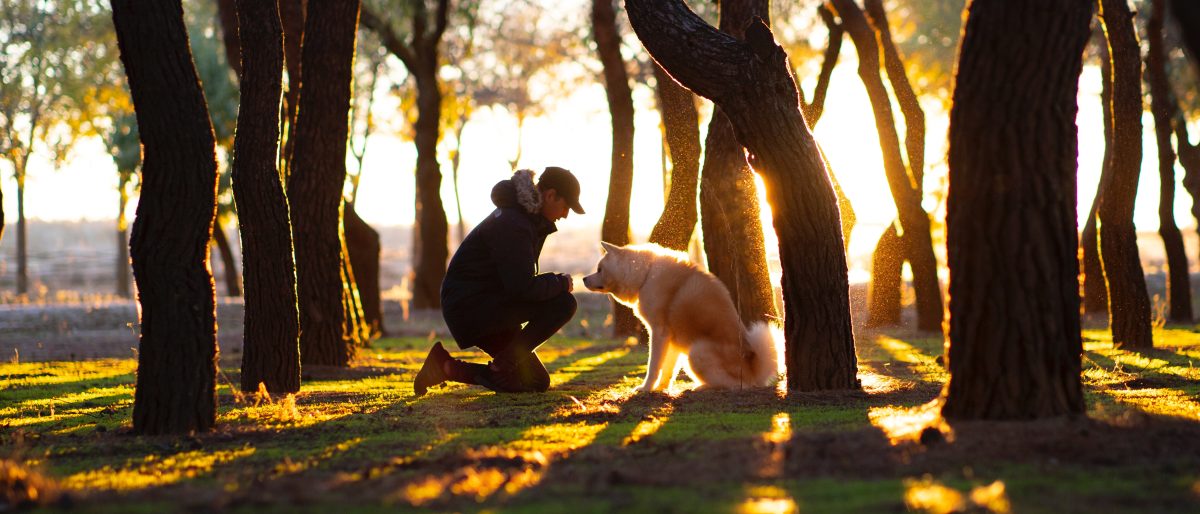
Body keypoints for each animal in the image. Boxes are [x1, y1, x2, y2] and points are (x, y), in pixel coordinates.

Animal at [583, 242, 787, 391]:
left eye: (599, 269)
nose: (584, 279)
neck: (647, 274)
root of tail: (753, 370)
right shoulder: (672, 340)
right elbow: (668, 370)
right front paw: (661, 389)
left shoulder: (658, 333)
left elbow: (653, 367)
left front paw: (646, 388)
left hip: (696, 352)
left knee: (735, 385)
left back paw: (703, 387)